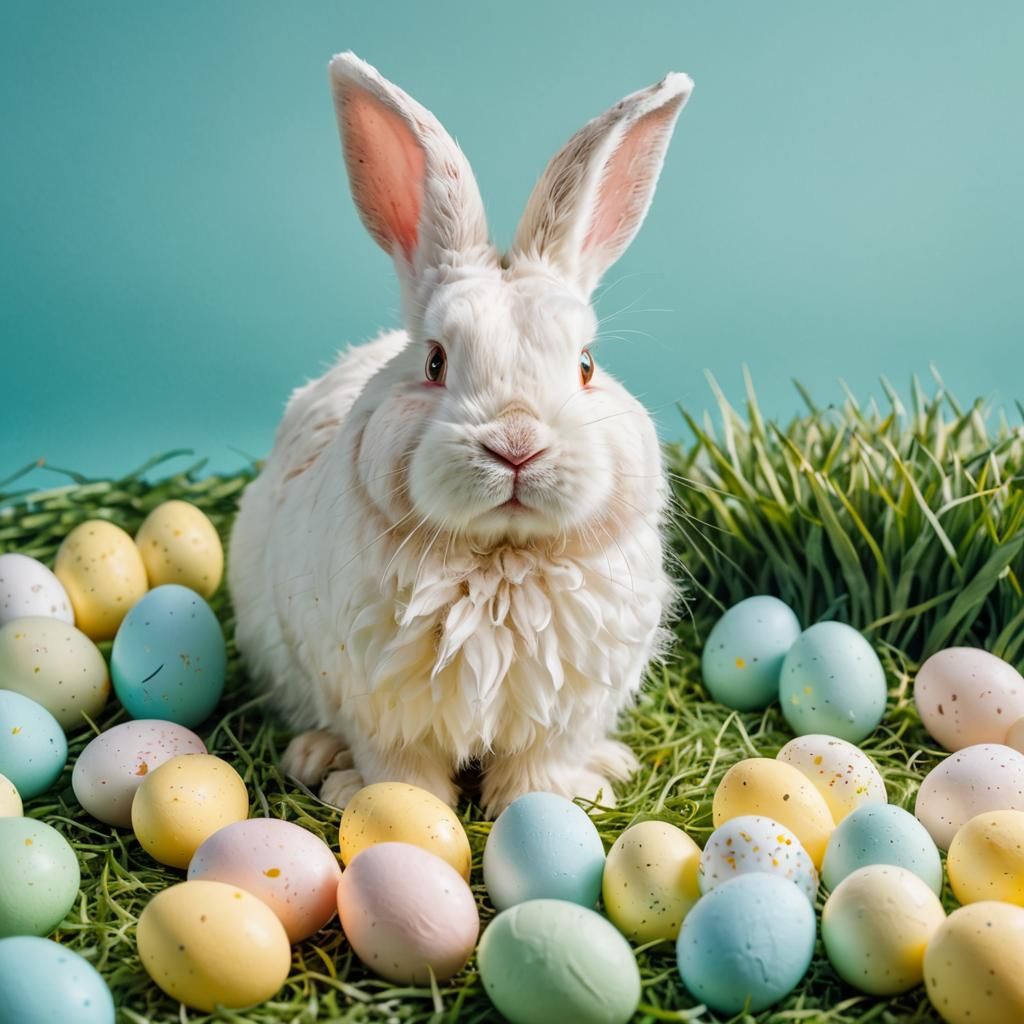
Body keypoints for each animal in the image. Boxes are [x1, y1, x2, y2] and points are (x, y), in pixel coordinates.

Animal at [228, 51, 693, 815]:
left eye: (586, 365)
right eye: (436, 362)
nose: (517, 445)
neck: (501, 562)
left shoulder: (560, 716)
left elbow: (539, 769)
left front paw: (551, 806)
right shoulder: (379, 708)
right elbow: (400, 768)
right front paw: (401, 813)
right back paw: (317, 759)